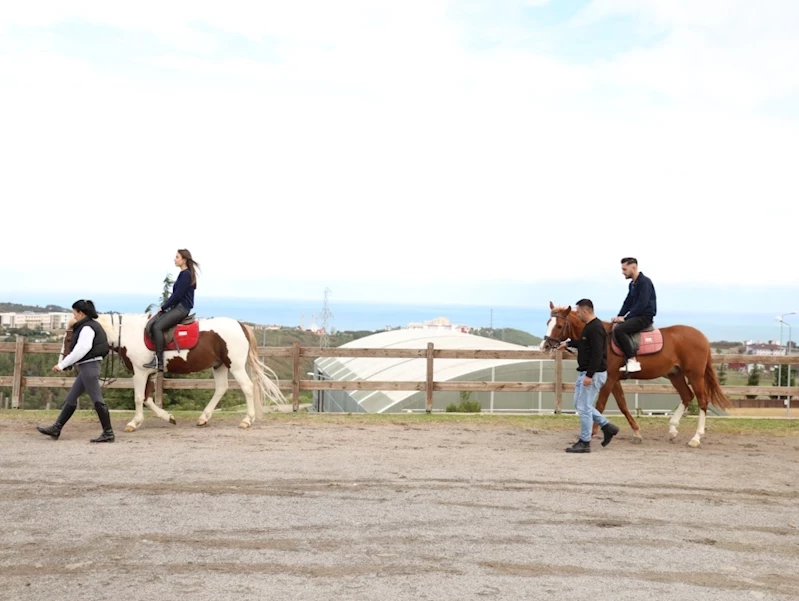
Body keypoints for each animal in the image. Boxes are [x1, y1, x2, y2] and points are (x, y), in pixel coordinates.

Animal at [60, 314, 290, 432]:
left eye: (71, 337)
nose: (65, 363)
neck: (129, 333)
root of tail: (241, 325)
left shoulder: (140, 372)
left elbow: (138, 398)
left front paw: (134, 422)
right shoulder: (150, 373)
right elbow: (147, 398)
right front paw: (168, 417)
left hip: (235, 365)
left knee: (247, 387)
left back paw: (247, 420)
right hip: (220, 365)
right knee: (221, 389)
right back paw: (203, 418)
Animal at [540, 300, 736, 446]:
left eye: (559, 326)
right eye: (547, 323)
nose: (545, 346)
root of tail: (702, 337)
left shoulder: (609, 378)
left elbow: (600, 404)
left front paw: (595, 432)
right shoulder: (615, 379)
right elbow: (623, 405)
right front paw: (636, 432)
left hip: (695, 375)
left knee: (702, 401)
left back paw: (695, 438)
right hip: (676, 374)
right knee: (687, 396)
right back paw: (673, 429)